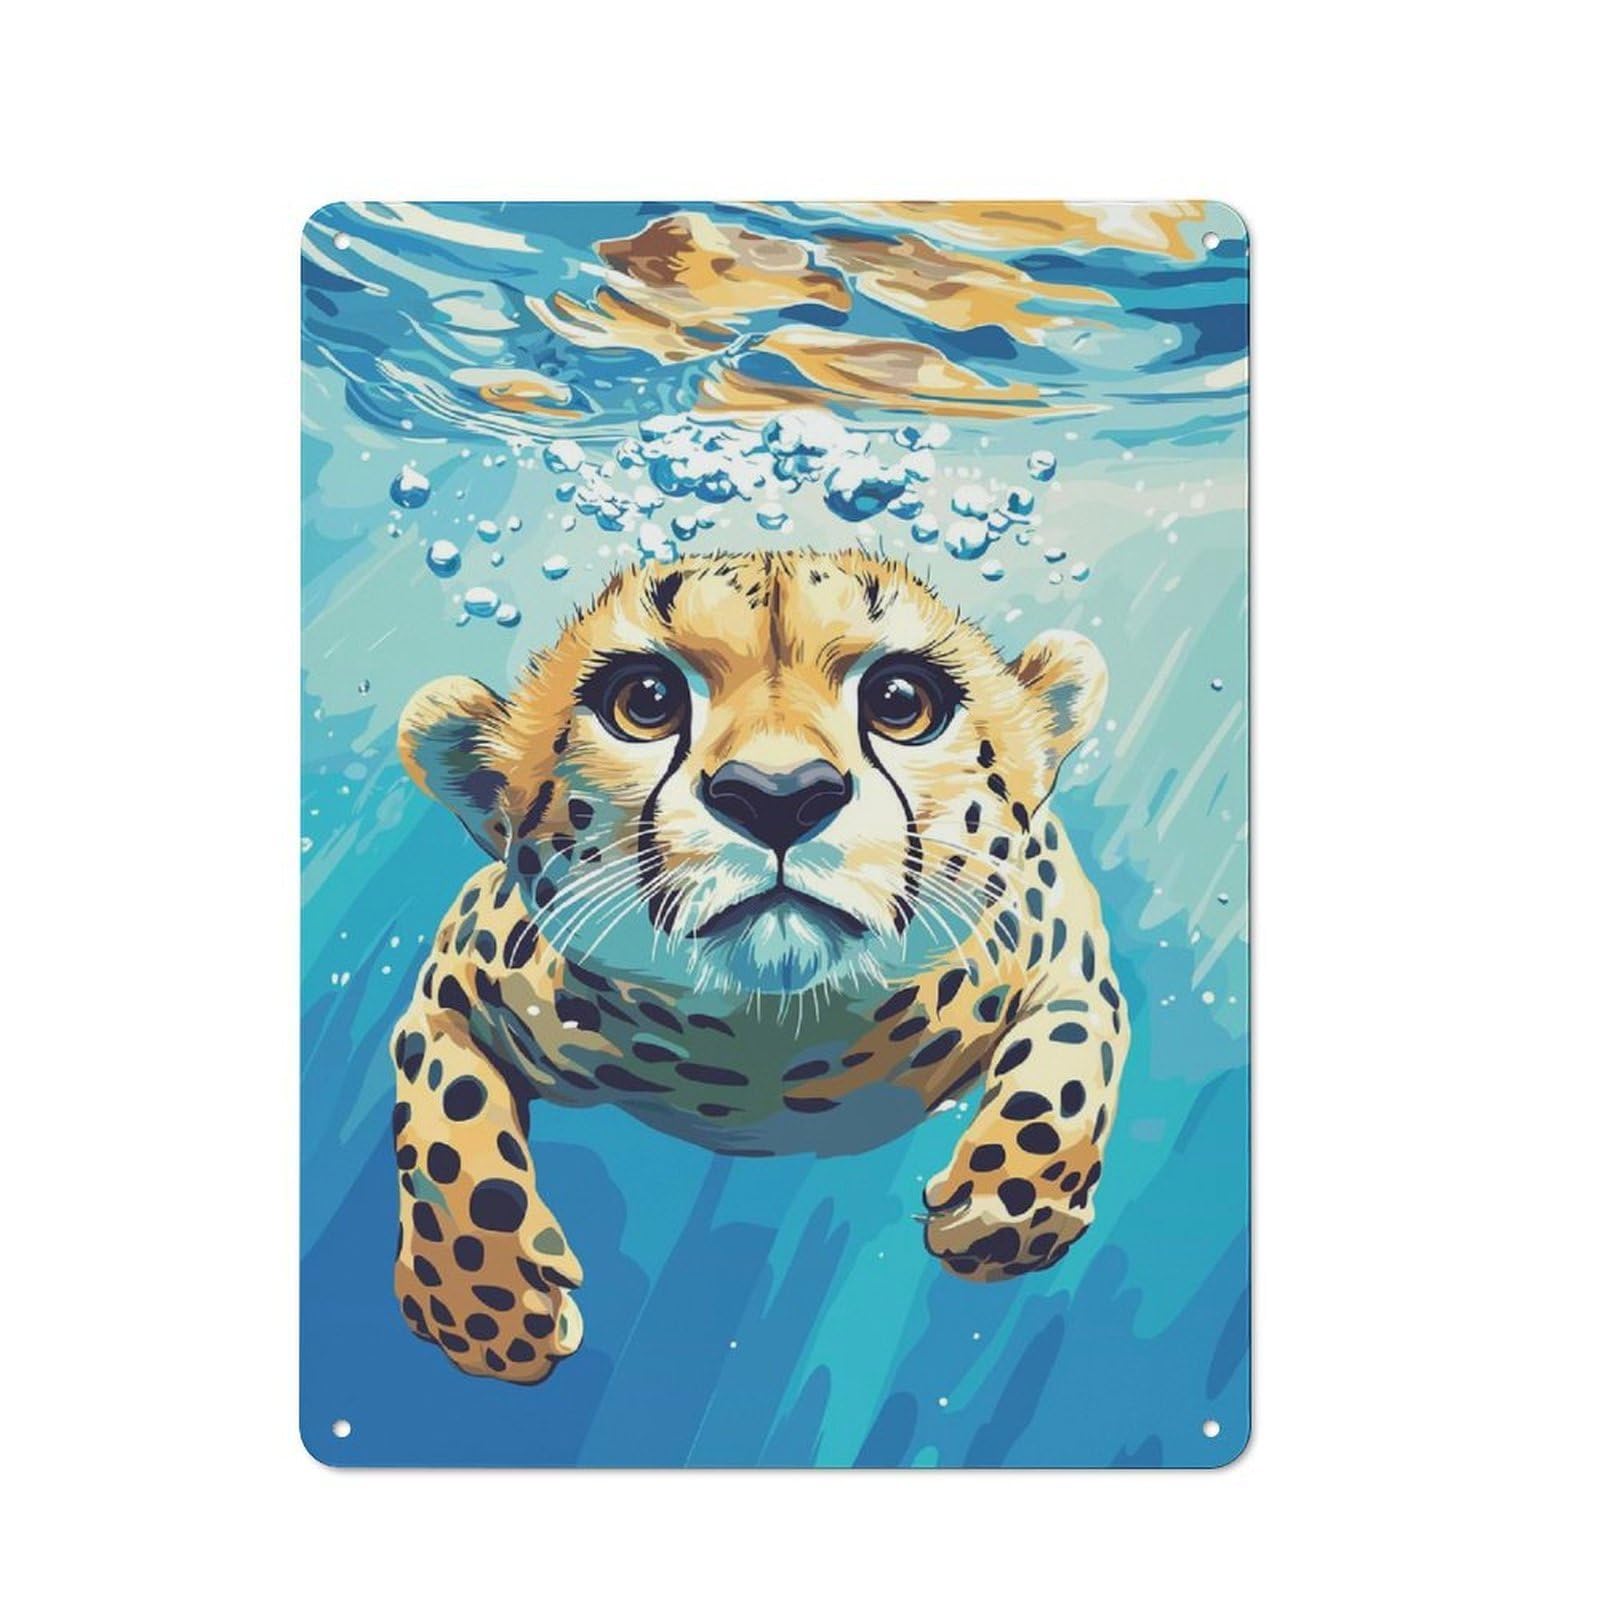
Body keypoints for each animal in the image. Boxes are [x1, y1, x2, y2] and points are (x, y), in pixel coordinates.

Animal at [388, 549, 1128, 1384]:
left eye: (902, 700)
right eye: (644, 700)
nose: (779, 795)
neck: (774, 1038)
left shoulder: (1062, 932)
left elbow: (1068, 1059)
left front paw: (1006, 1208)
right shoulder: (455, 976)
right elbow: (446, 1119)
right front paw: (486, 1309)